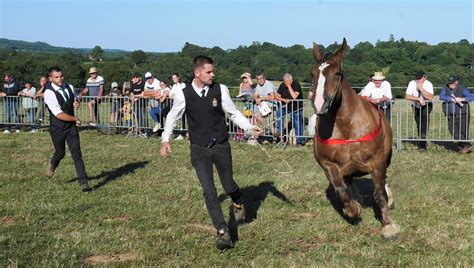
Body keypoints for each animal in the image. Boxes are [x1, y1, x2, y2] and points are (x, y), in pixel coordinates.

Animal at [312, 38, 400, 241]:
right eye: (313, 73)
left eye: (337, 73)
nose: (320, 104)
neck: (346, 126)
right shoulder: (328, 164)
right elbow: (342, 191)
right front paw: (353, 209)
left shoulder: (377, 162)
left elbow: (379, 194)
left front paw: (388, 226)